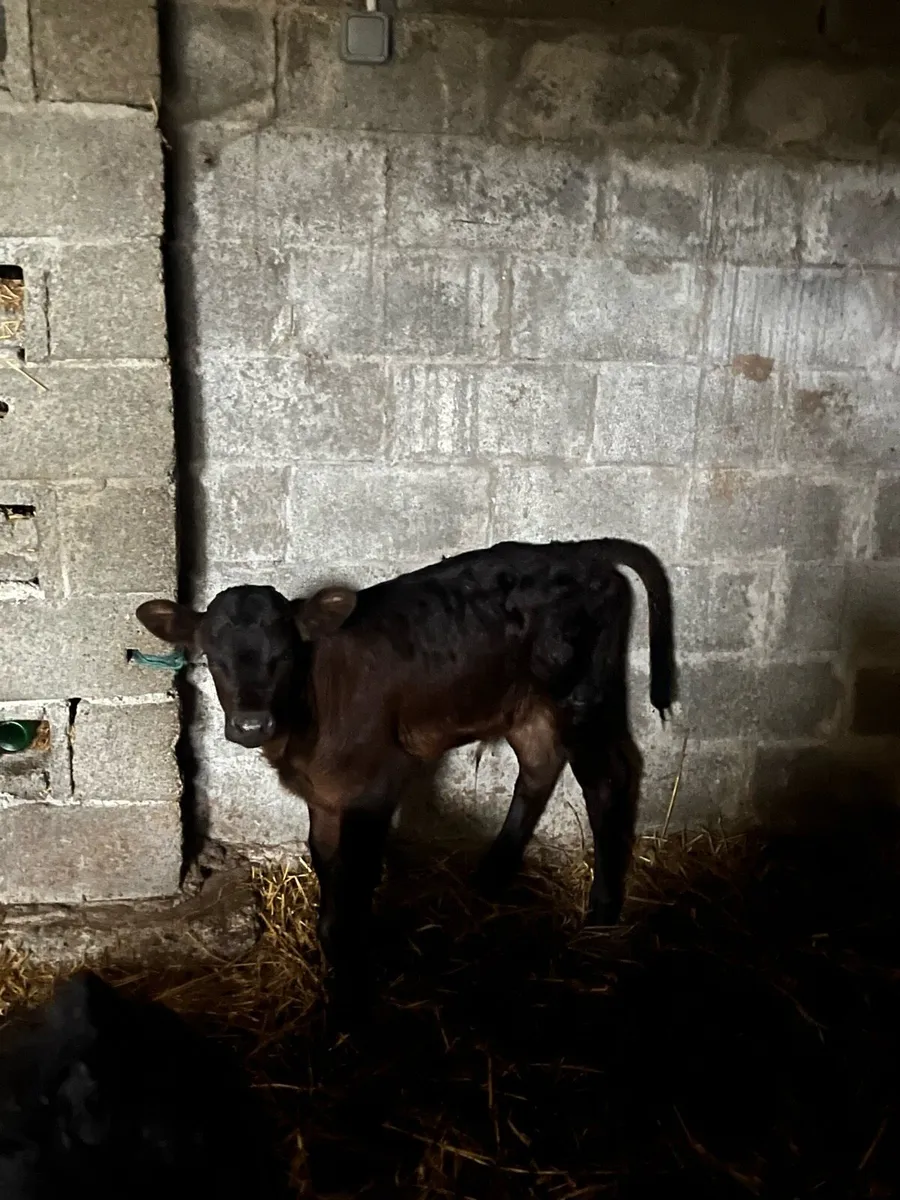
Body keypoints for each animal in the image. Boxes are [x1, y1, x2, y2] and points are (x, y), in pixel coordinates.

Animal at [136, 539, 676, 1015]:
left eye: (284, 654)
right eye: (213, 655)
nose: (252, 724)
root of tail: (579, 551)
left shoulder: (375, 787)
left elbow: (357, 875)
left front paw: (351, 989)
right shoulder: (325, 795)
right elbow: (328, 865)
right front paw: (333, 954)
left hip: (584, 695)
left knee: (608, 781)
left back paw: (601, 914)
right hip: (527, 705)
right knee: (540, 765)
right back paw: (491, 872)